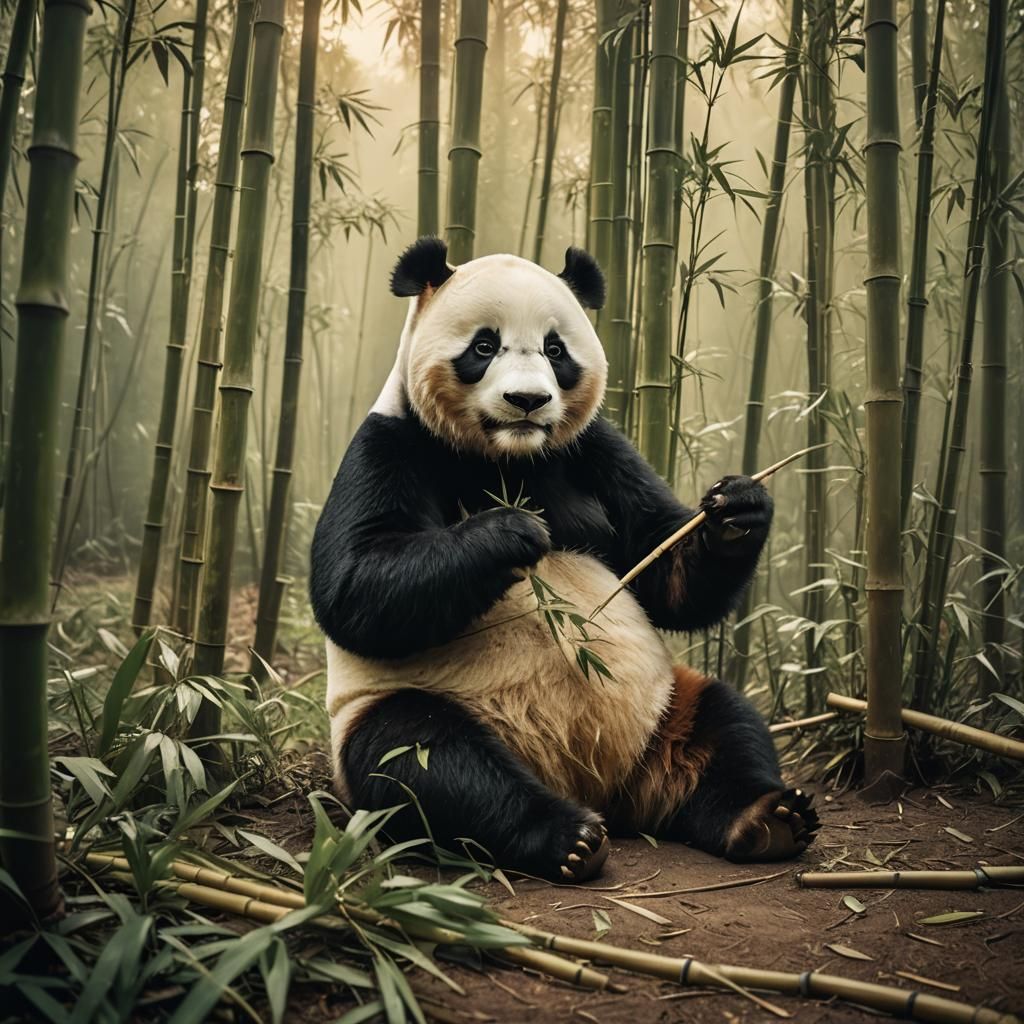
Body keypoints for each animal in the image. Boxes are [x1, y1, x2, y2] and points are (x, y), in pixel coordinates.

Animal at [310, 237, 819, 882]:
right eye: (484, 346)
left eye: (556, 350)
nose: (527, 401)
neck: (506, 456)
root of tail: (595, 784)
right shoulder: (390, 442)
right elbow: (354, 587)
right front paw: (513, 531)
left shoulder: (596, 449)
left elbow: (664, 568)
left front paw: (737, 507)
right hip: (395, 711)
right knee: (425, 758)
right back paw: (566, 837)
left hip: (663, 709)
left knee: (724, 725)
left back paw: (765, 817)